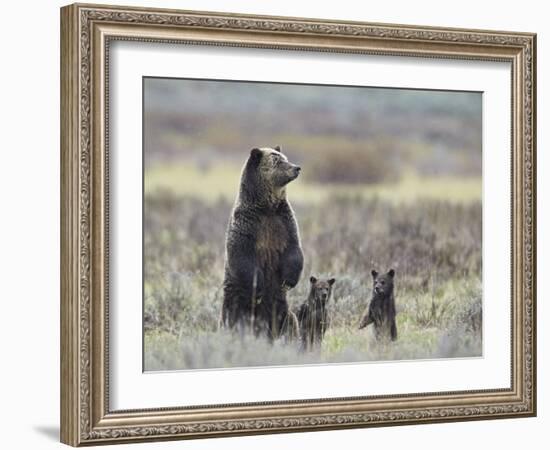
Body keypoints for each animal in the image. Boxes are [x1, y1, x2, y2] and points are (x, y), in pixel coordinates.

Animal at [221, 146, 306, 340]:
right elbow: (241, 255)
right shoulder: (247, 225)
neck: (267, 208)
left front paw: (289, 280)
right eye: (277, 161)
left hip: (280, 306)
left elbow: (294, 249)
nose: (296, 168)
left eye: (285, 158)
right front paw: (258, 286)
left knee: (289, 321)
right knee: (232, 318)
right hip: (235, 299)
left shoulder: (284, 222)